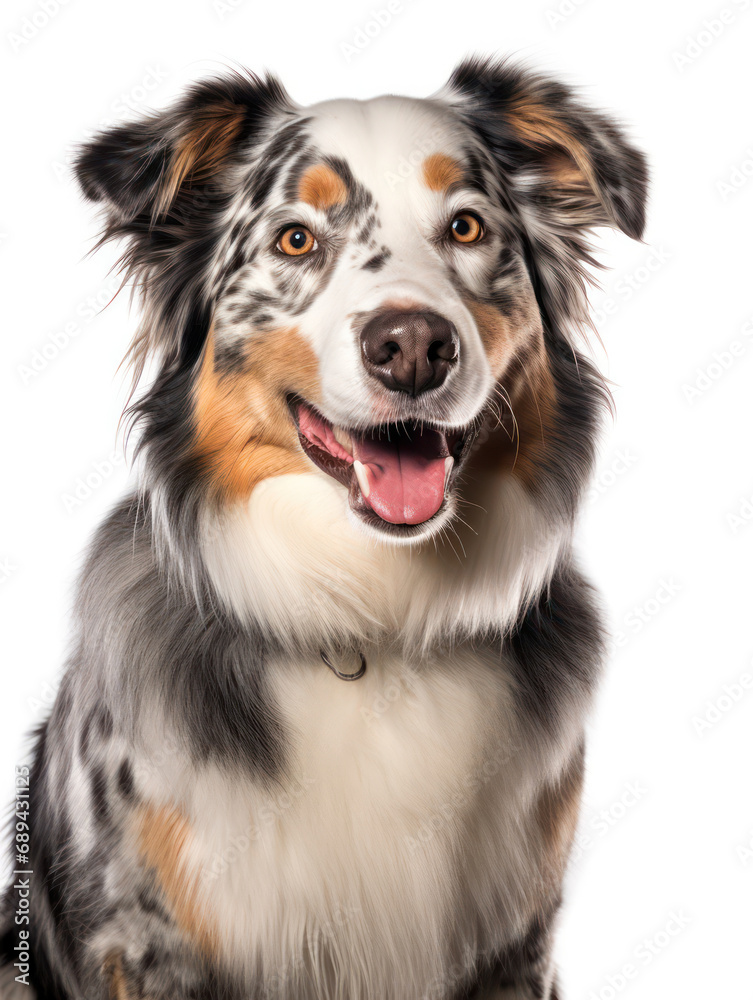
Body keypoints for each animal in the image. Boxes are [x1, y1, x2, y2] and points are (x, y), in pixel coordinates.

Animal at [0, 56, 648, 1000]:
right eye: (296, 240)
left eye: (465, 227)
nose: (412, 346)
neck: (372, 619)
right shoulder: (146, 944)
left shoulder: (515, 942)